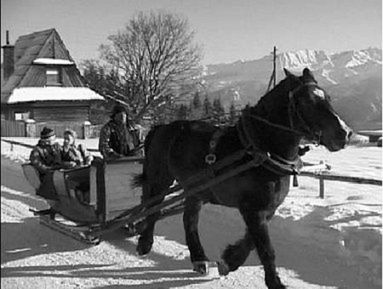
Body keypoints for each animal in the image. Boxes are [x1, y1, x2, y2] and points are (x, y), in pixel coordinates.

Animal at [134, 68, 352, 288]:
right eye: (307, 102)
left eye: (328, 98)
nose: (345, 133)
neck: (260, 148)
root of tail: (161, 127)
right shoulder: (253, 209)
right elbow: (266, 248)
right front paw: (274, 282)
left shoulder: (267, 208)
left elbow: (251, 241)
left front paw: (229, 261)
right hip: (160, 179)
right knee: (153, 207)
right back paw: (145, 242)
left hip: (196, 190)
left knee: (190, 220)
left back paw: (199, 258)